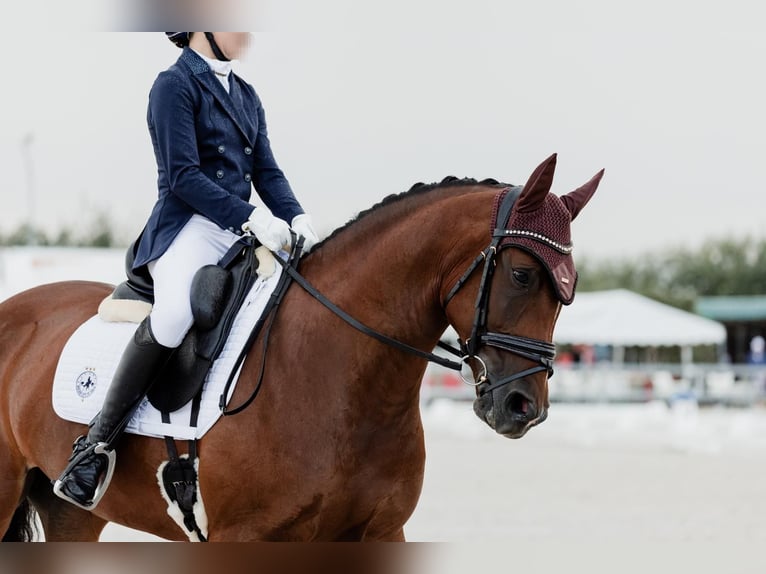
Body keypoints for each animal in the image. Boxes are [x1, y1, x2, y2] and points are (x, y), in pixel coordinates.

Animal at [0, 153, 602, 541]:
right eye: (522, 274)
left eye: (569, 288)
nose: (523, 407)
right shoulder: (245, 539)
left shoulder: (380, 533)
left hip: (72, 516)